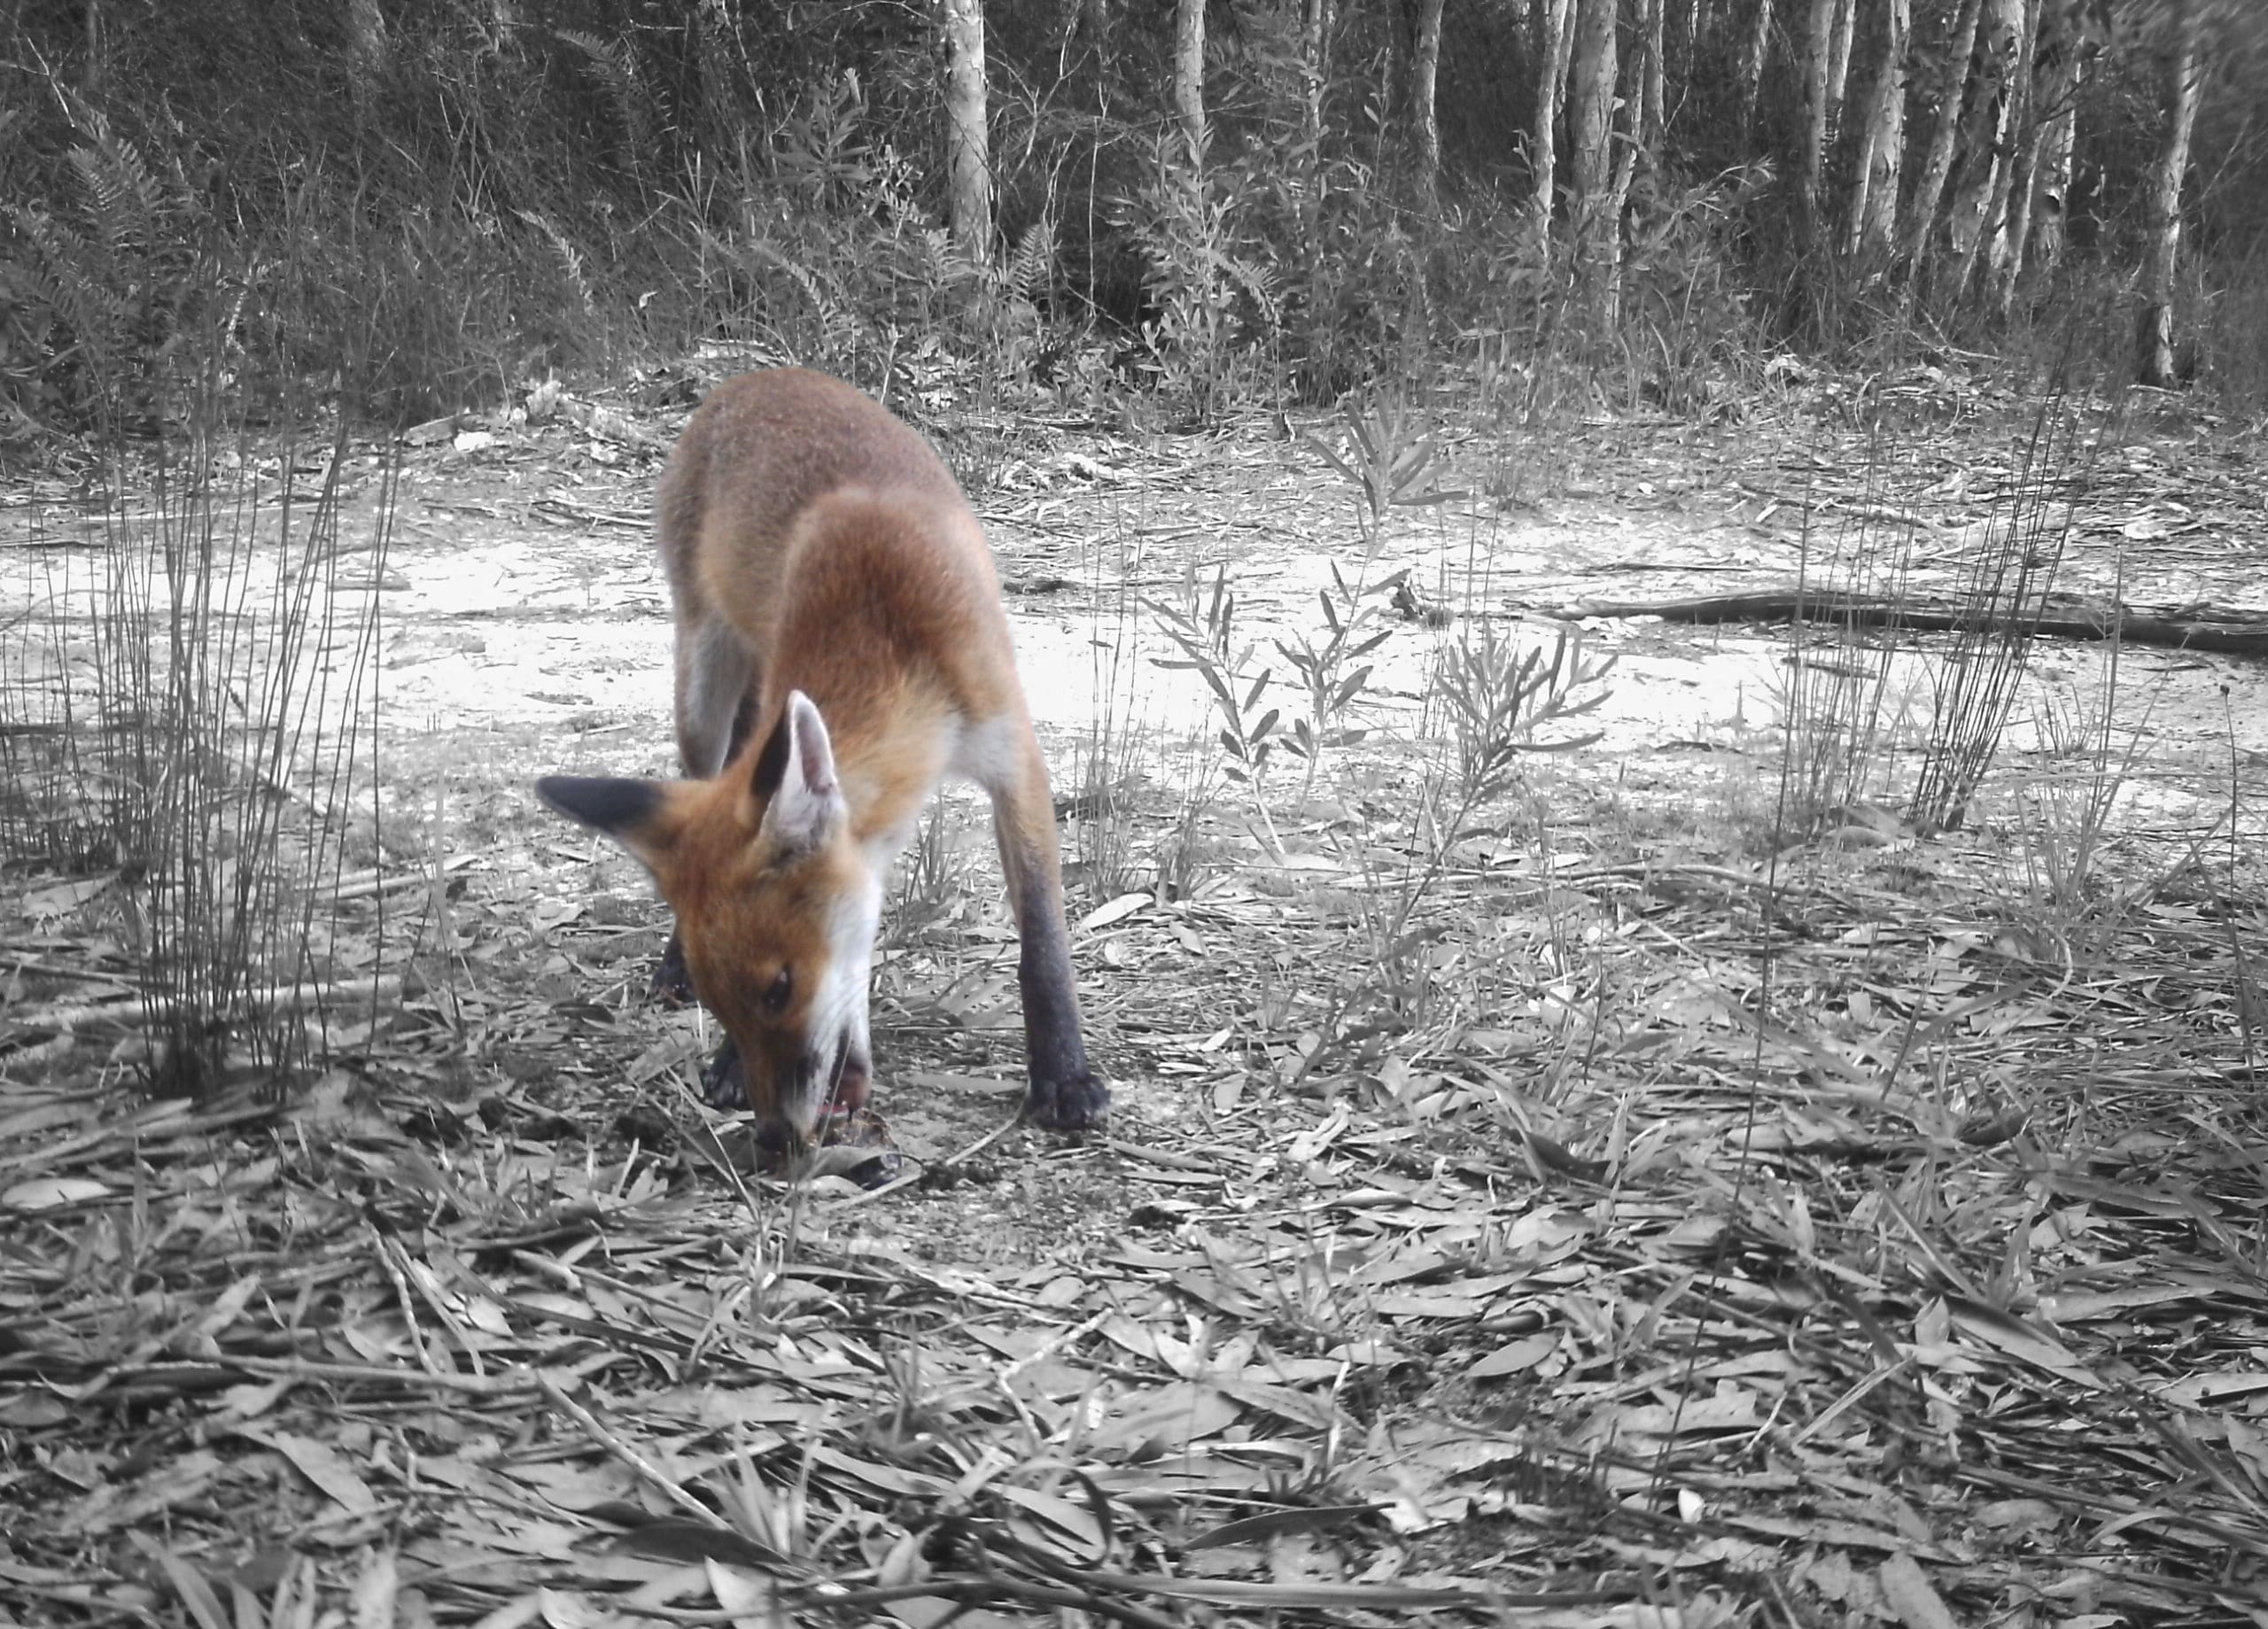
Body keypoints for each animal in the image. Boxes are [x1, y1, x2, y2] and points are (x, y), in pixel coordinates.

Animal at [531, 374, 1098, 1148]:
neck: (887, 629)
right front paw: (727, 1064)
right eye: (726, 1006)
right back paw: (671, 956)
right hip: (701, 689)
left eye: (780, 988)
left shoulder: (1011, 750)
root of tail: (753, 377)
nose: (775, 1135)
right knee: (693, 776)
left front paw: (1064, 1072)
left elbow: (1043, 939)